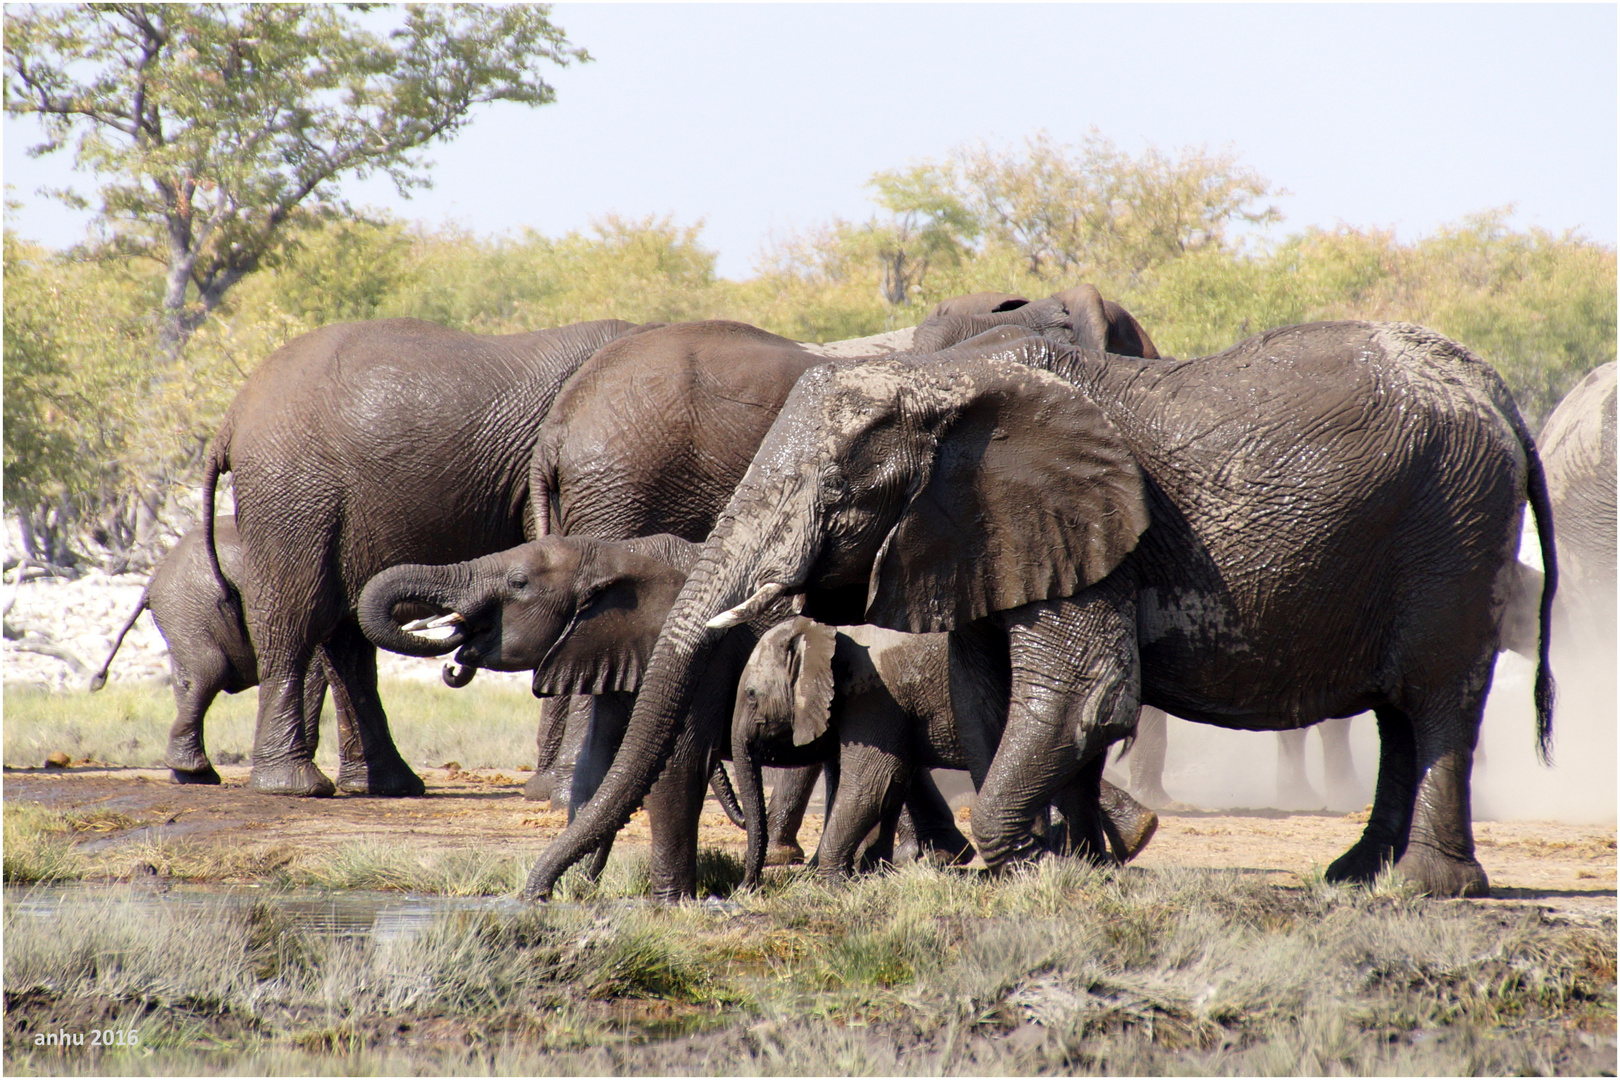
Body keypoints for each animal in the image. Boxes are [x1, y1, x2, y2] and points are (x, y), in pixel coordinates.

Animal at [205, 317, 648, 799]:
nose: (454, 668)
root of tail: (231, 418)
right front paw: (553, 789)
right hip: (291, 495)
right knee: (293, 620)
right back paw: (294, 786)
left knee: (345, 638)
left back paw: (387, 785)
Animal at [735, 615, 1166, 887]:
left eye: (752, 696)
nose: (748, 887)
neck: (825, 631)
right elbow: (891, 783)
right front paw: (873, 874)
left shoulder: (874, 696)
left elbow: (873, 781)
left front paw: (834, 883)